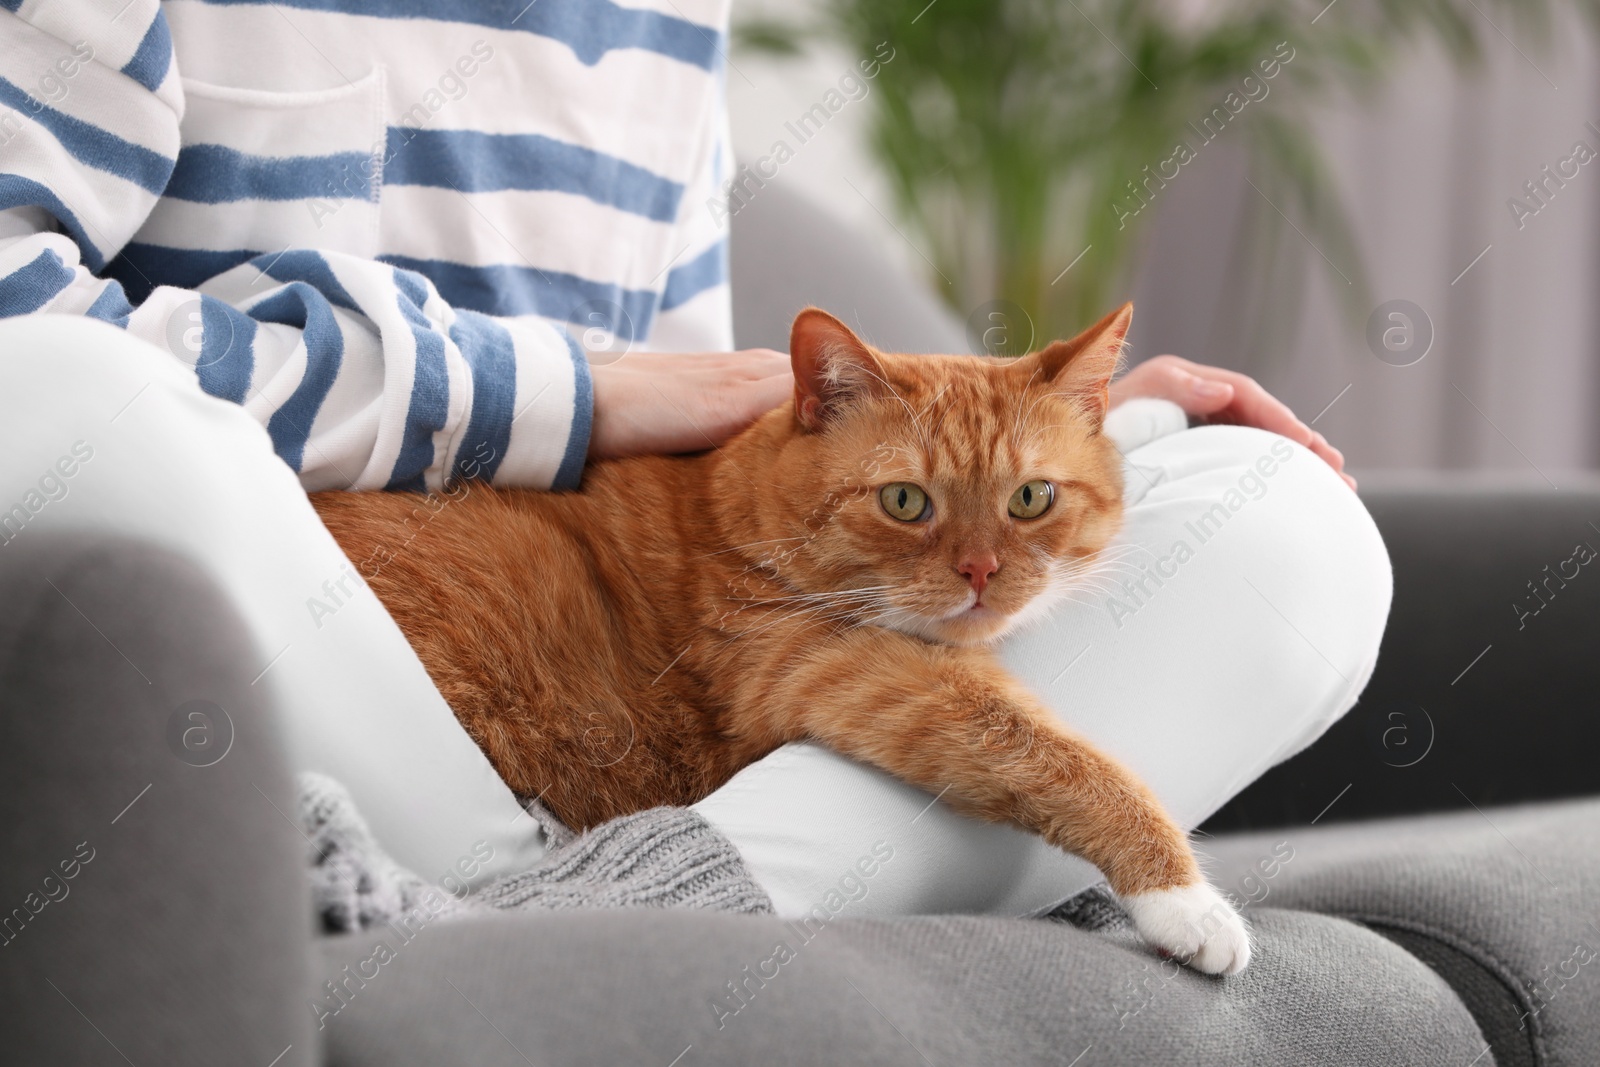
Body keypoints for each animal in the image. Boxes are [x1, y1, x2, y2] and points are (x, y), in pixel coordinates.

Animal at [315, 302, 1248, 979]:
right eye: (904, 501)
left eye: (1031, 498)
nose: (981, 570)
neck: (736, 505)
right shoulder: (849, 672)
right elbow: (1057, 756)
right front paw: (1184, 896)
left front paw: (1165, 408)